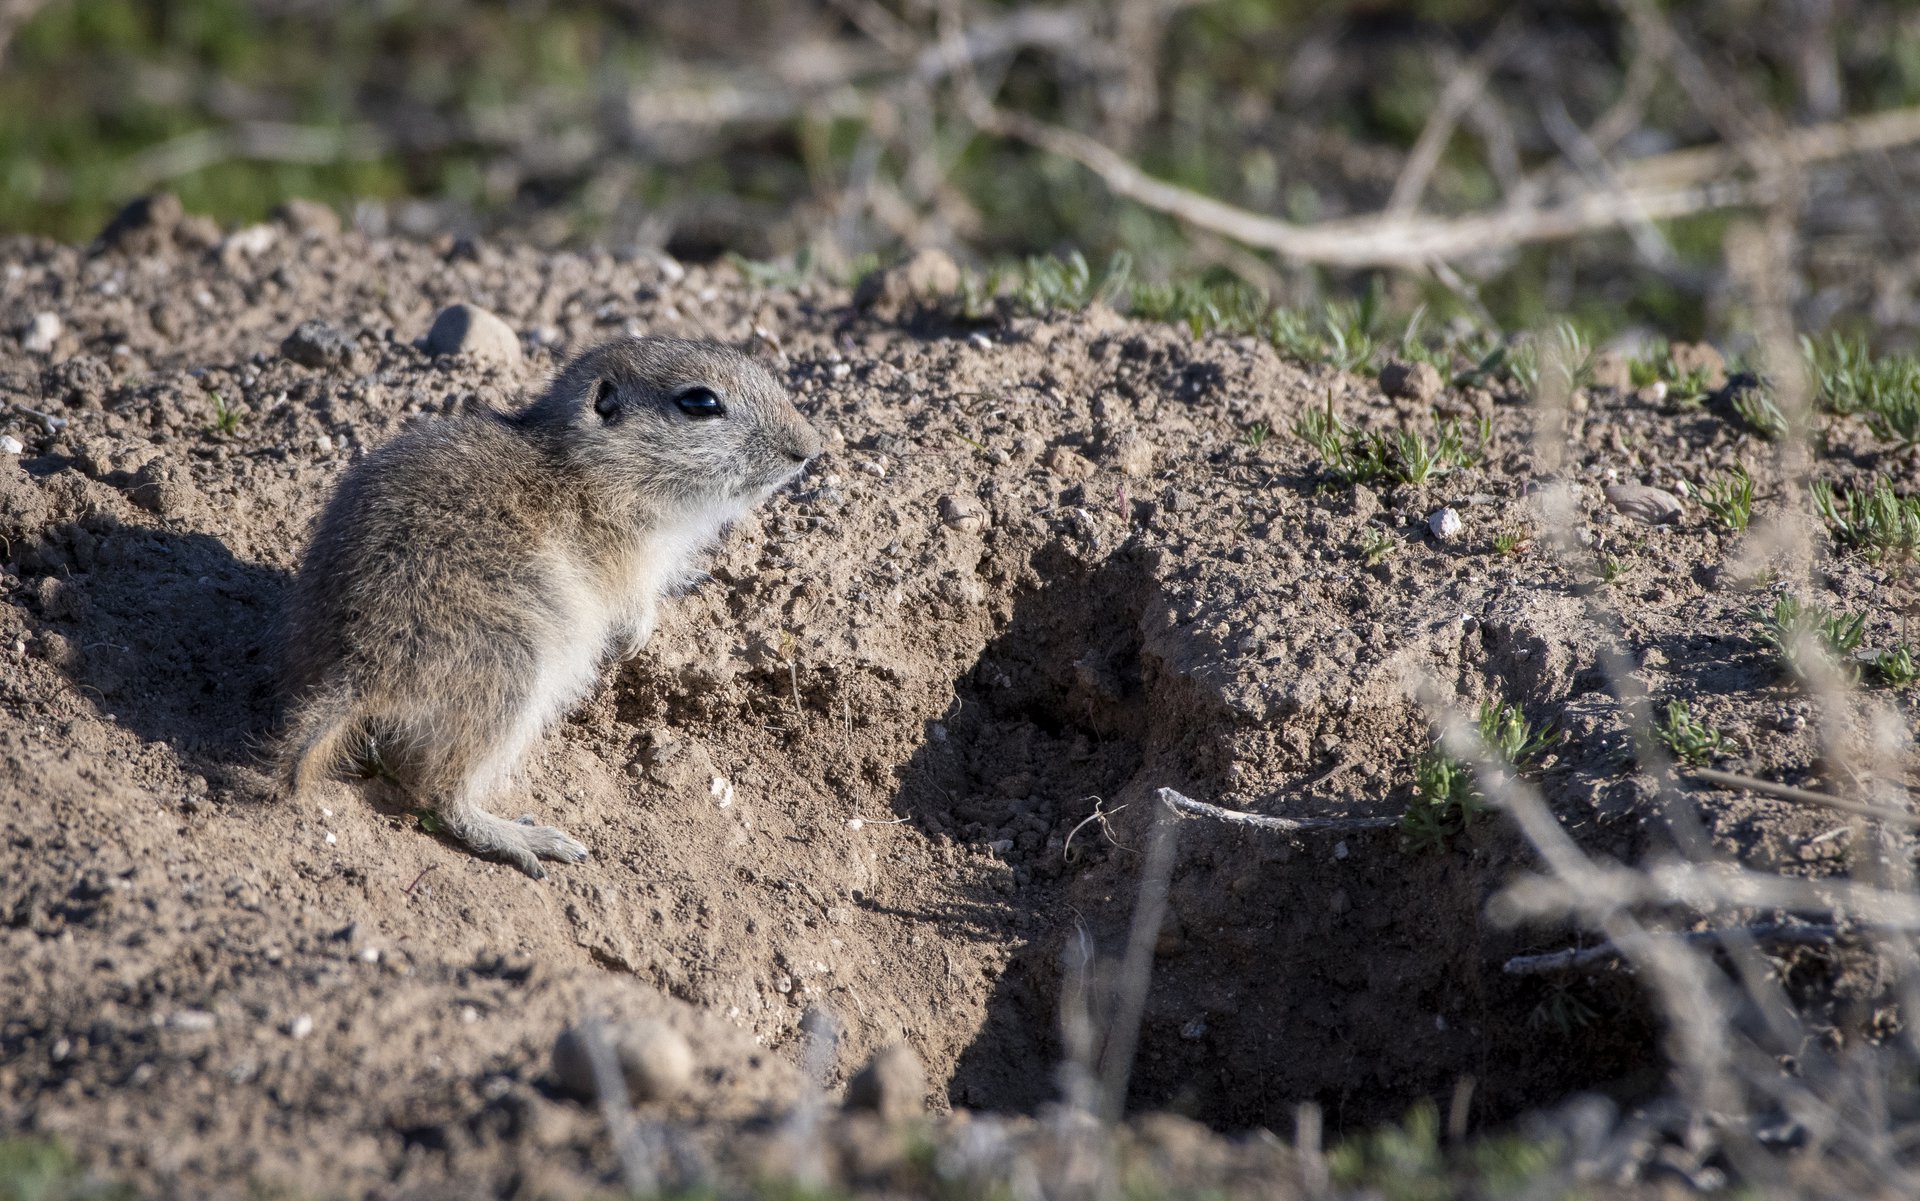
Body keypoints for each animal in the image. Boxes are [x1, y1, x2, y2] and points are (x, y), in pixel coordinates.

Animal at [278, 336, 822, 877]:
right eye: (701, 402)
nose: (811, 448)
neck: (591, 465)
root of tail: (357, 671)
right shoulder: (624, 554)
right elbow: (634, 602)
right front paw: (636, 637)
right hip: (512, 673)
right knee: (437, 791)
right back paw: (526, 839)